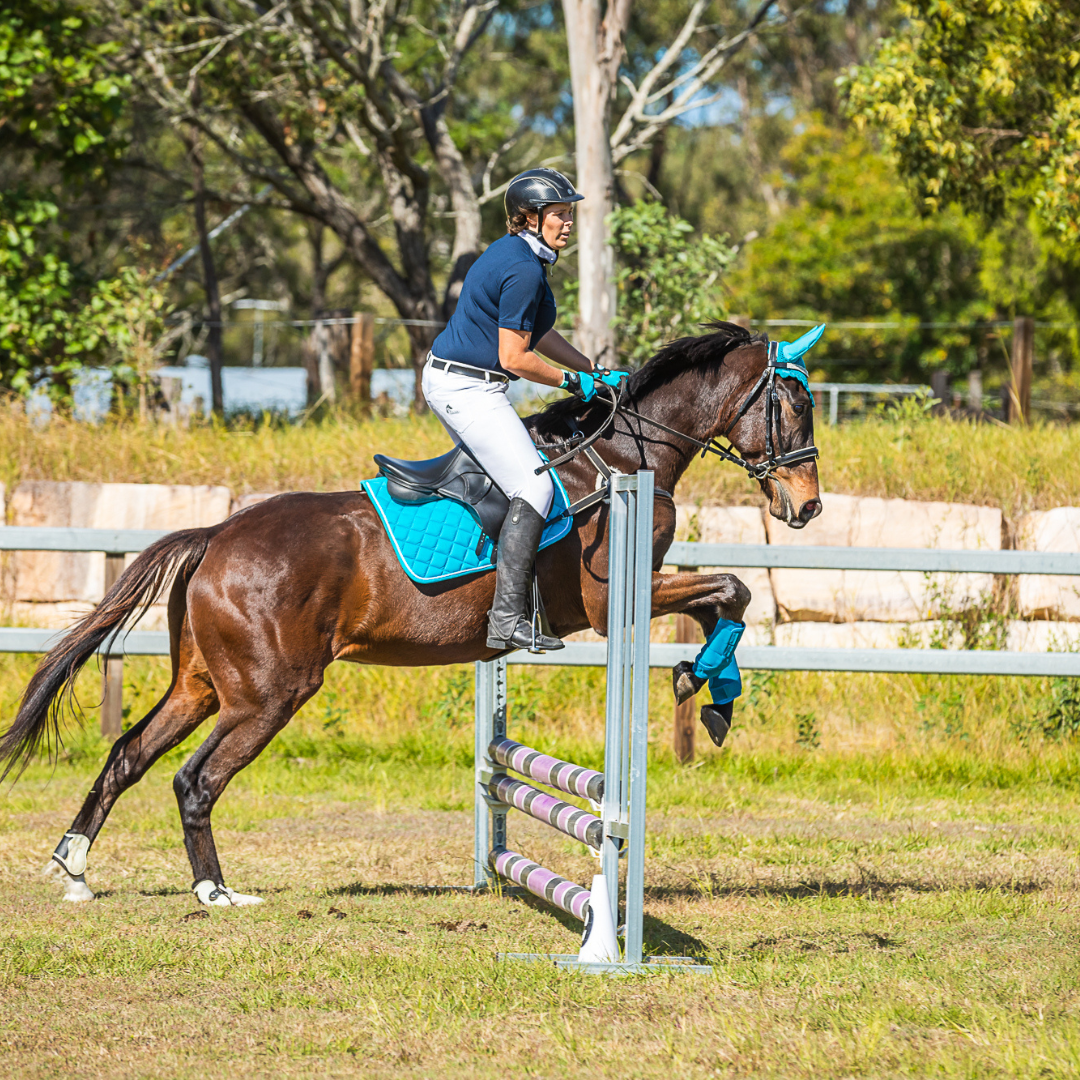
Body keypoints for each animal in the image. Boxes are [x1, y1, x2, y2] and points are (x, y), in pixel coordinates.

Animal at [0, 319, 816, 902]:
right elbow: (731, 592)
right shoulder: (610, 598)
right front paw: (707, 690)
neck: (622, 457)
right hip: (269, 694)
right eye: (792, 405)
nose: (806, 507)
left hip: (203, 685)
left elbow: (725, 600)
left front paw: (710, 694)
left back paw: (74, 867)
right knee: (195, 779)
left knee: (129, 754)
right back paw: (214, 891)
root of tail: (215, 535)